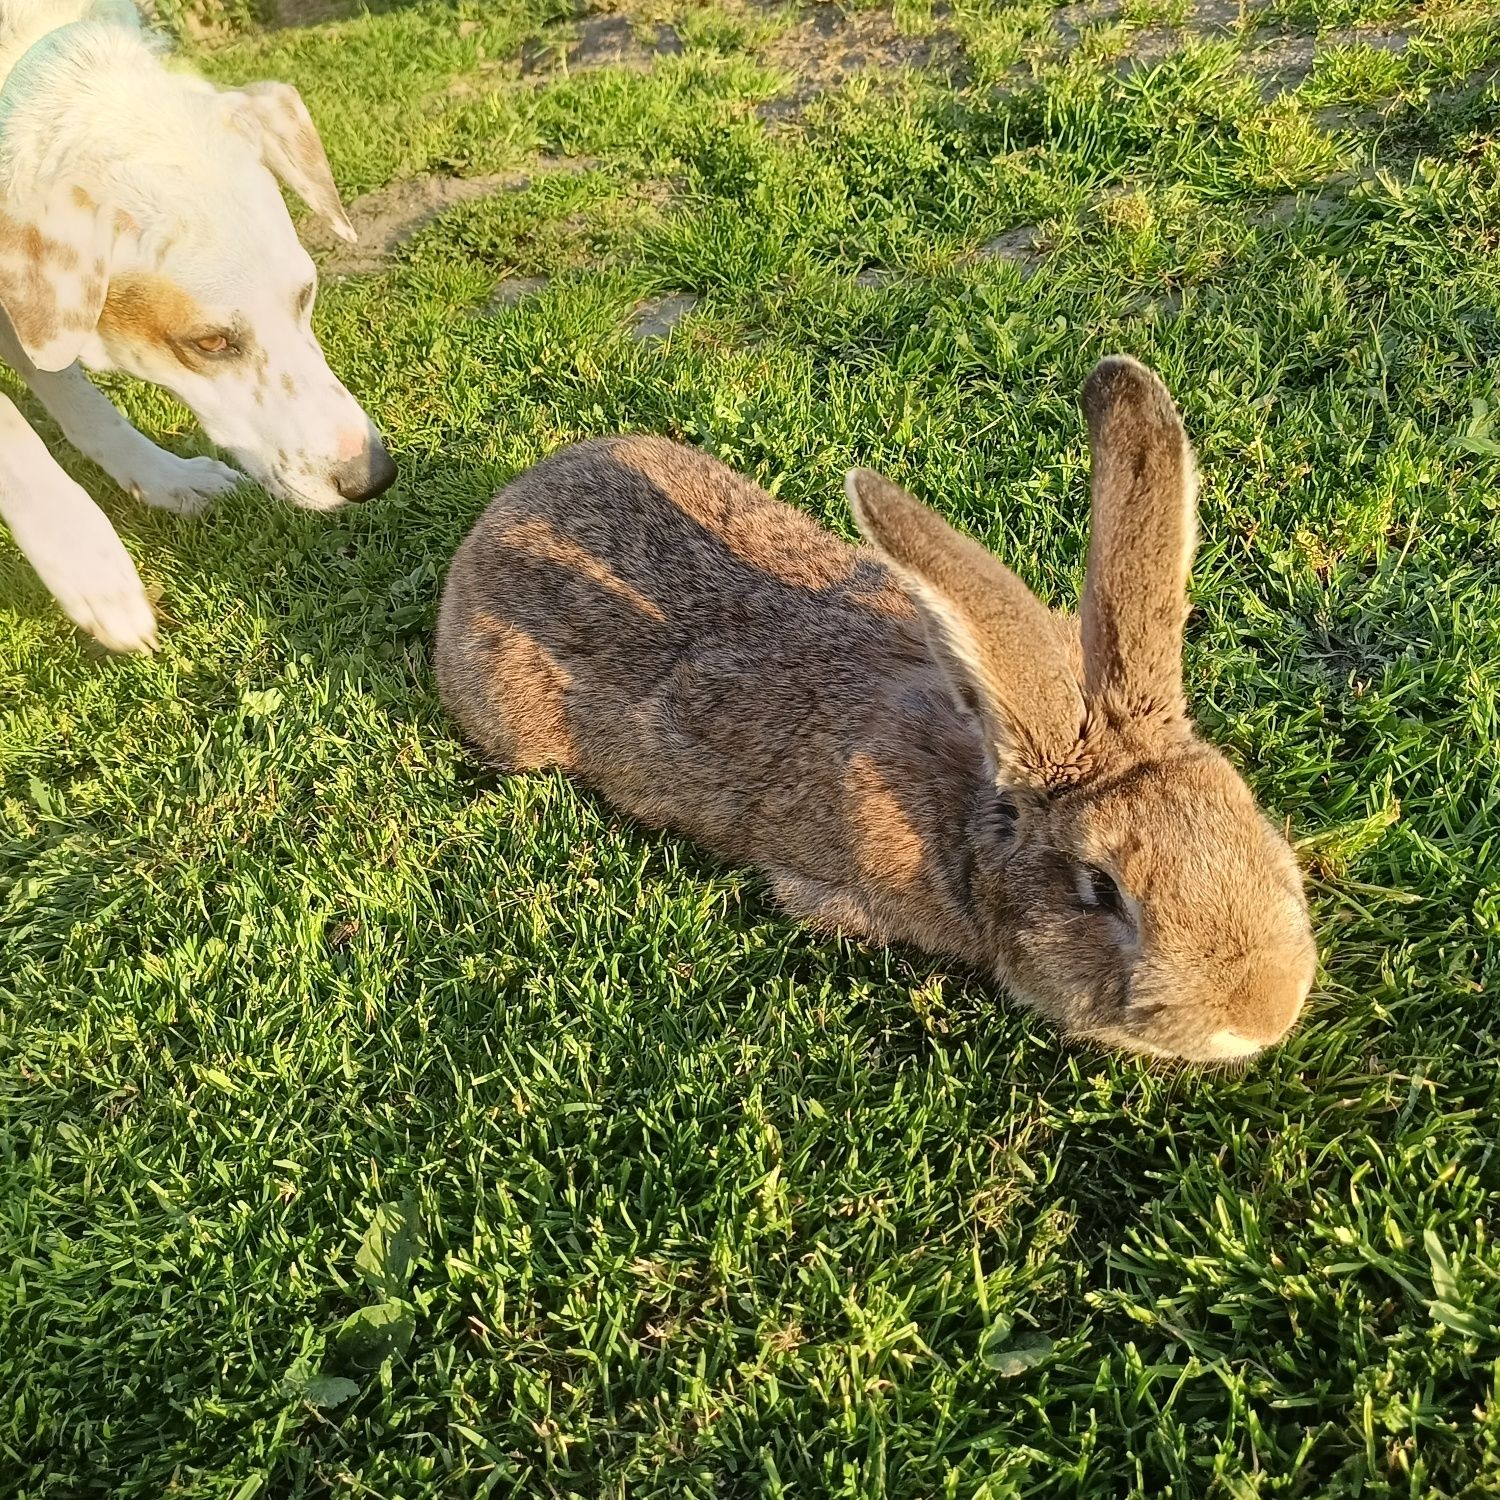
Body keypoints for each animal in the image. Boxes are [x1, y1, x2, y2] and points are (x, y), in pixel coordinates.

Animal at [0, 0, 396, 651]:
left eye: (306, 294)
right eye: (210, 342)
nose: (371, 478)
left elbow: (80, 399)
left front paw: (162, 477)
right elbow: (17, 437)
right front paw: (91, 567)